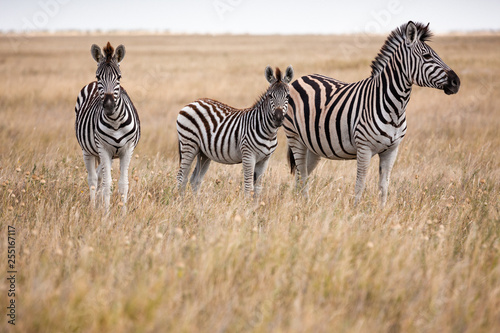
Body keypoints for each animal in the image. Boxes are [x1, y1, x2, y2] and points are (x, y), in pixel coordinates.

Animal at [74, 42, 141, 211]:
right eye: (98, 76)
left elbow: (123, 184)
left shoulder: (127, 149)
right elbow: (106, 184)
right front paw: (106, 213)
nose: (109, 106)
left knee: (98, 176)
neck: (115, 122)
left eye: (119, 77)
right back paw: (93, 207)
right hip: (88, 150)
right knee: (92, 179)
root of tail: (90, 84)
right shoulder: (103, 148)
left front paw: (123, 213)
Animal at [176, 64, 292, 197]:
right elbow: (248, 187)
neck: (269, 133)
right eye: (270, 96)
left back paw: (196, 202)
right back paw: (180, 201)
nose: (278, 118)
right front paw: (246, 203)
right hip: (188, 144)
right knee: (181, 177)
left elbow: (257, 189)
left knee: (195, 179)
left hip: (203, 152)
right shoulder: (248, 156)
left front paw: (256, 203)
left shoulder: (265, 160)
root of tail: (192, 102)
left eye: (287, 96)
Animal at [286, 21, 460, 205]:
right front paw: (355, 210)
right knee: (302, 174)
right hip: (295, 137)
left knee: (301, 174)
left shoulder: (392, 150)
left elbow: (384, 186)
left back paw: (299, 203)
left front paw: (382, 211)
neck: (395, 108)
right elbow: (360, 184)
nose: (456, 82)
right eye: (427, 56)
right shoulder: (364, 148)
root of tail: (301, 78)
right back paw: (304, 204)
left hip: (313, 145)